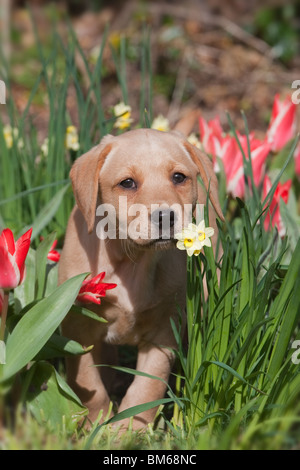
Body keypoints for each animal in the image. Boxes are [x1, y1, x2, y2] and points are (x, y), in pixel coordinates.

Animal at [58, 126, 223, 430]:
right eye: (127, 183)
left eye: (178, 177)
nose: (166, 216)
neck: (133, 261)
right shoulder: (78, 328)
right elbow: (89, 384)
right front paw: (97, 425)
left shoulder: (164, 331)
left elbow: (146, 389)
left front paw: (128, 431)